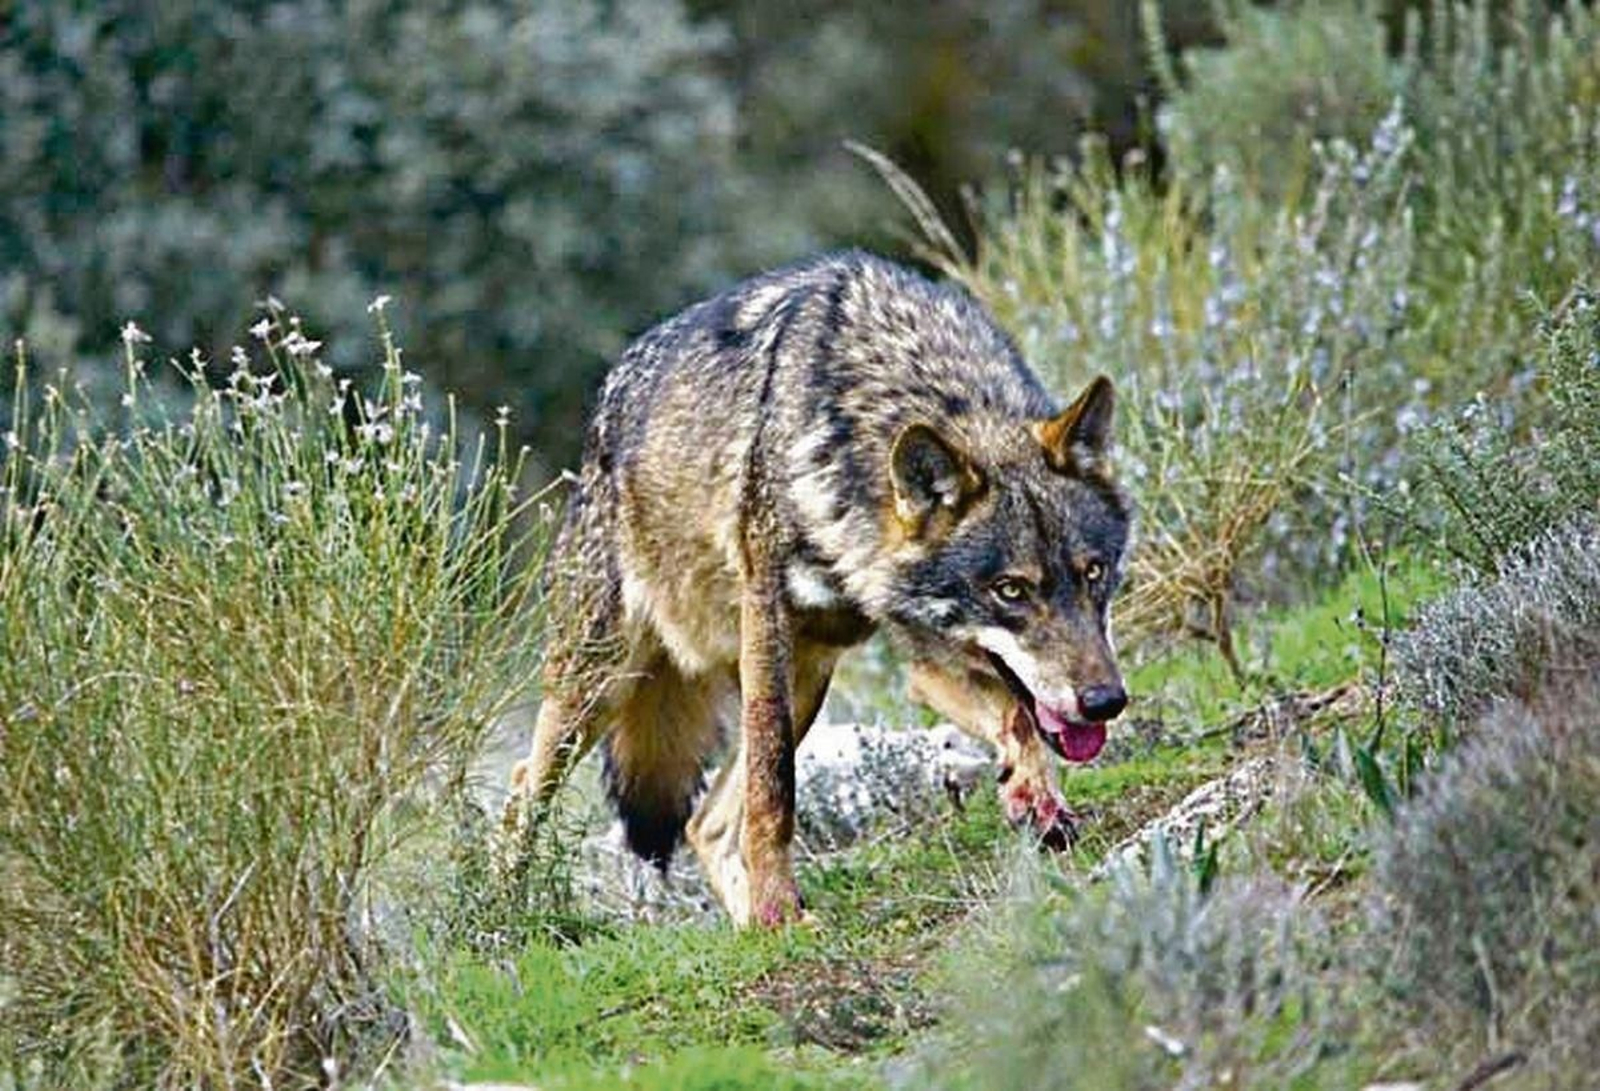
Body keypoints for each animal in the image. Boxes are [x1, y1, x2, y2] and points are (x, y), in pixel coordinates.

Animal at [507, 250, 1131, 927]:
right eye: (1011, 590)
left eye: (1094, 573)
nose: (1105, 701)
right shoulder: (768, 621)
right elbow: (774, 788)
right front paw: (779, 904)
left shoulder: (926, 655)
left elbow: (1018, 717)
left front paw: (1036, 799)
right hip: (602, 685)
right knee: (522, 791)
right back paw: (507, 911)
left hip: (807, 677)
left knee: (705, 825)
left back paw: (754, 926)